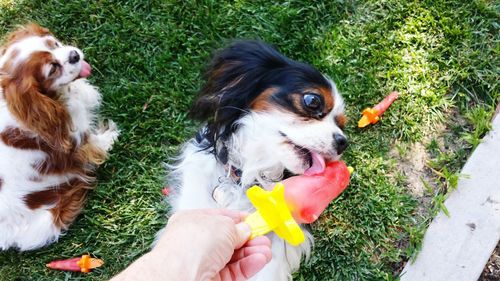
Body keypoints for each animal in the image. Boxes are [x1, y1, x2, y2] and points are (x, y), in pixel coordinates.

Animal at [0, 23, 119, 249]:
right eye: (53, 69)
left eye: (53, 43)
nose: (74, 55)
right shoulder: (76, 140)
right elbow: (93, 143)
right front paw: (110, 137)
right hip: (45, 224)